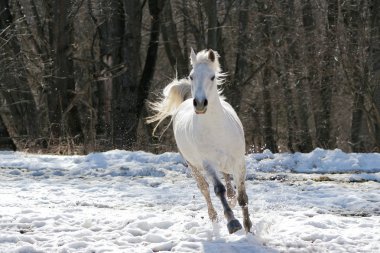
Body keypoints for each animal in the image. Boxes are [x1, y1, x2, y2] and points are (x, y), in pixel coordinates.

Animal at [148, 48, 252, 233]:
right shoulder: (207, 164)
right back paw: (214, 216)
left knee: (228, 180)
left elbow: (242, 196)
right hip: (193, 165)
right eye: (191, 76)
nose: (200, 104)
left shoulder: (239, 162)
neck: (216, 129)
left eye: (212, 77)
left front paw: (248, 227)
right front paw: (232, 222)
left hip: (225, 163)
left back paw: (231, 198)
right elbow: (218, 190)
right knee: (205, 189)